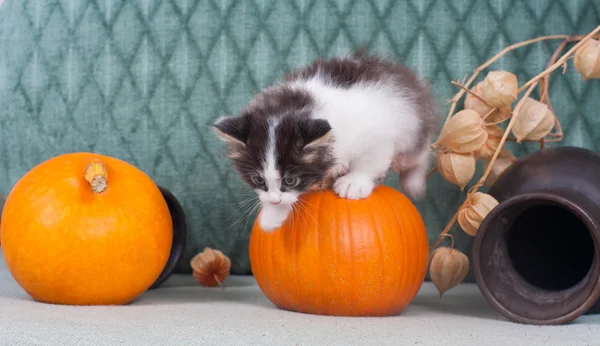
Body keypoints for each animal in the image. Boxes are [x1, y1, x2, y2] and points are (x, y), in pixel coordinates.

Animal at [212, 49, 436, 230]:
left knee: (421, 153)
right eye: (258, 180)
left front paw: (355, 182)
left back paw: (414, 183)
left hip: (410, 129)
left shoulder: (377, 132)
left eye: (290, 180)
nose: (274, 200)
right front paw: (272, 215)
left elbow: (370, 161)